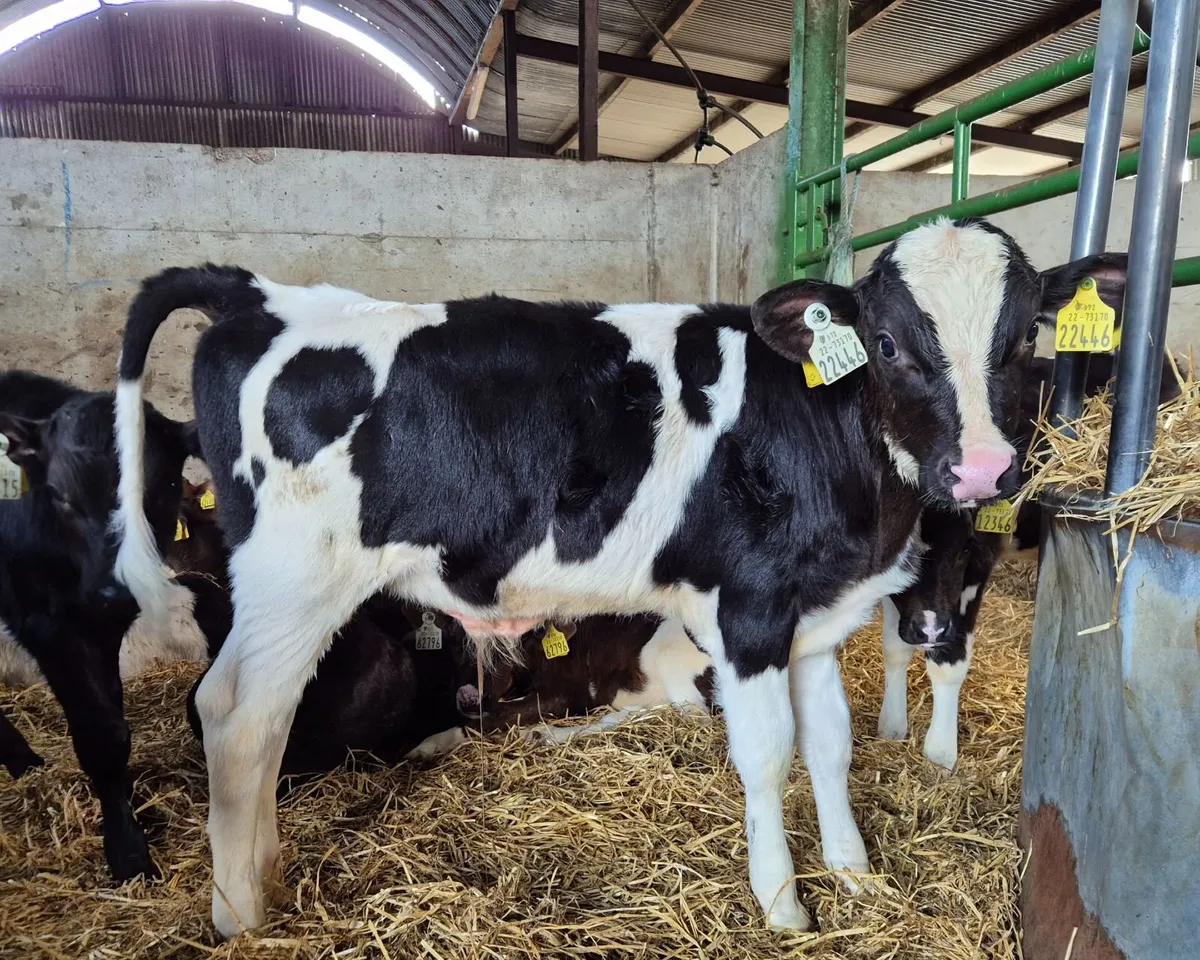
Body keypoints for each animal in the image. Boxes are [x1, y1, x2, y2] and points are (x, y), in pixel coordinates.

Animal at [0, 372, 196, 881]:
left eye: (162, 487)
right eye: (62, 496)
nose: (116, 588)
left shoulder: (104, 625)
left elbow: (115, 721)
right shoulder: (45, 624)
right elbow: (99, 734)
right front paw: (127, 852)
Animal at [110, 217, 1127, 937]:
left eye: (1025, 337)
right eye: (884, 343)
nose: (983, 470)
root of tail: (260, 294)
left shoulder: (812, 620)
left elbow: (832, 745)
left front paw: (852, 870)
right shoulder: (746, 610)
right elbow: (769, 756)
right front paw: (784, 903)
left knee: (262, 719)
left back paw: (266, 875)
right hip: (295, 580)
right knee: (237, 716)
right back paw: (242, 911)